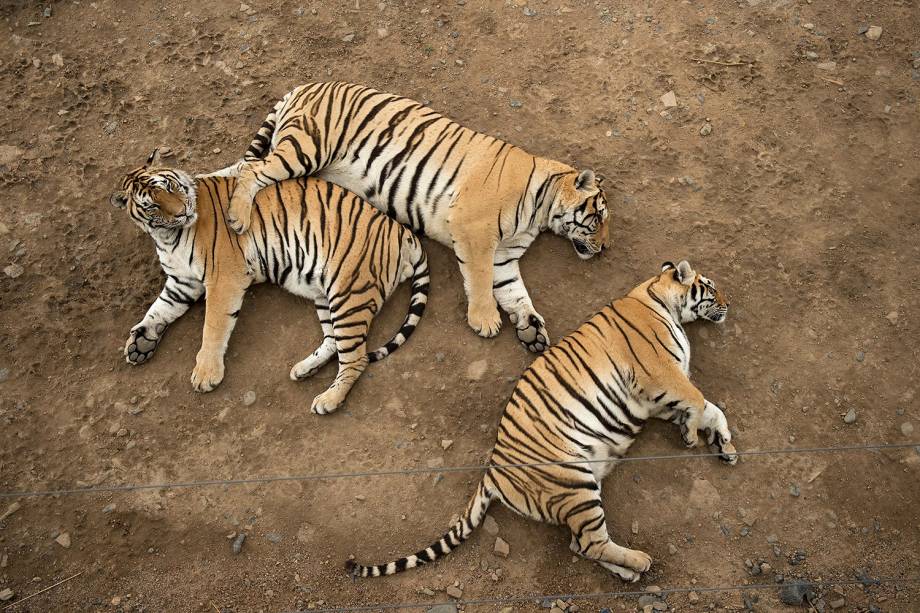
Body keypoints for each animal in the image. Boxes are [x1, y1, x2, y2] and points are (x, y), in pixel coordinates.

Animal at [109, 149, 430, 414]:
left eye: (171, 187)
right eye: (152, 206)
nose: (182, 212)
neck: (166, 236)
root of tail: (403, 232)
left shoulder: (223, 277)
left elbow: (212, 326)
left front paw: (206, 375)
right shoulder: (181, 282)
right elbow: (158, 309)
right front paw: (140, 342)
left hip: (350, 293)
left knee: (357, 358)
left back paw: (328, 400)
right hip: (327, 294)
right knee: (334, 343)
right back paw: (304, 370)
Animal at [209, 80, 612, 354]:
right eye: (599, 216)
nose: (606, 248)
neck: (541, 211)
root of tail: (305, 85)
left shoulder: (504, 254)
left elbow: (514, 291)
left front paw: (531, 329)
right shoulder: (475, 232)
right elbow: (481, 280)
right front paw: (485, 320)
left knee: (240, 168)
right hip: (306, 148)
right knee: (252, 171)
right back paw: (236, 218)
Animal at [344, 260, 740, 580]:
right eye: (710, 285)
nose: (729, 303)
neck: (658, 297)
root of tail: (492, 471)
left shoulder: (654, 397)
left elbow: (711, 408)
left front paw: (723, 445)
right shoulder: (661, 374)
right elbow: (698, 400)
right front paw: (693, 435)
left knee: (580, 545)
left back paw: (628, 573)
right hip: (575, 483)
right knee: (589, 543)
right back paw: (639, 562)